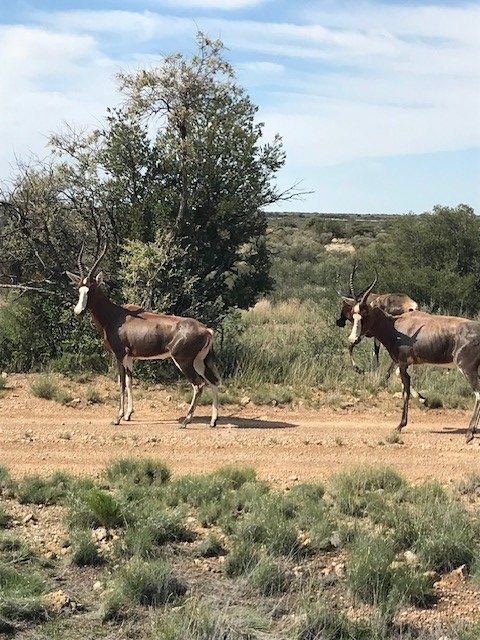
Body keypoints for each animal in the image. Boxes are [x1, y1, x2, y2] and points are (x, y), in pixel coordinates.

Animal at [66, 244, 220, 428]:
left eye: (92, 289)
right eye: (79, 289)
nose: (78, 311)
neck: (116, 315)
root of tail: (207, 330)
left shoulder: (119, 355)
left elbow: (121, 383)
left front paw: (117, 418)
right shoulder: (130, 358)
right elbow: (130, 382)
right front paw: (128, 415)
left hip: (183, 361)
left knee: (199, 385)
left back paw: (185, 421)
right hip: (200, 361)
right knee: (213, 381)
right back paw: (213, 421)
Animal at [340, 268, 480, 442]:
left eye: (365, 314)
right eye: (353, 314)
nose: (353, 339)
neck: (396, 325)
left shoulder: (403, 363)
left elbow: (405, 391)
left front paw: (400, 425)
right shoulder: (407, 364)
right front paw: (422, 400)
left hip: (467, 369)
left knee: (478, 394)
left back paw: (469, 433)